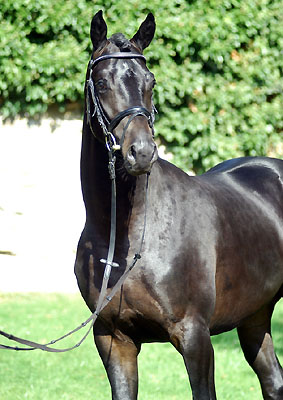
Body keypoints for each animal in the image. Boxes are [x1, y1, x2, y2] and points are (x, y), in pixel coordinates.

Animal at [75, 10, 283, 398]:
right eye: (102, 81)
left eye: (150, 80)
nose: (141, 152)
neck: (127, 234)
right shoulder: (113, 340)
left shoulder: (195, 337)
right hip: (255, 317)